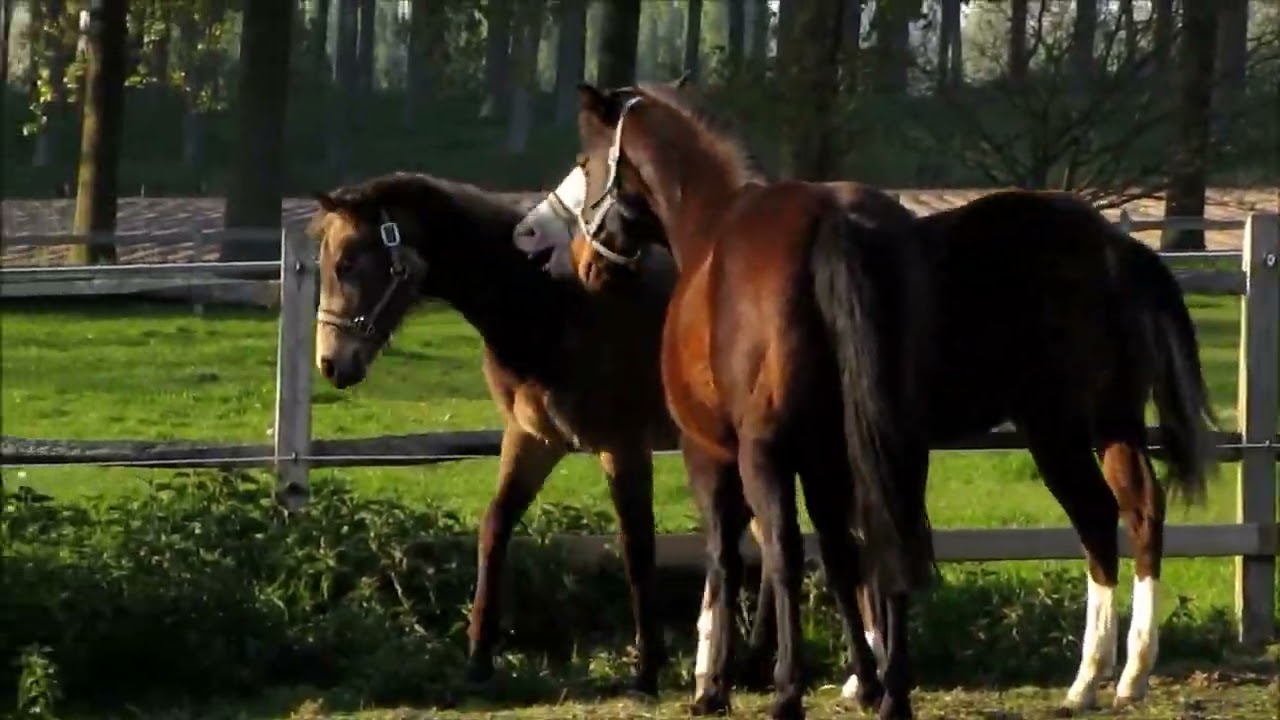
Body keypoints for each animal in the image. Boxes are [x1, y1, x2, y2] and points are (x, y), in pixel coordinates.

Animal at [306, 170, 685, 695]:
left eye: (345, 263)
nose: (330, 363)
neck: (557, 305)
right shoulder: (533, 440)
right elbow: (495, 528)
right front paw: (478, 659)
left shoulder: (623, 445)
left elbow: (637, 545)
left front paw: (647, 669)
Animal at [530, 83, 1218, 717]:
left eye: (587, 159)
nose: (563, 252)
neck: (715, 228)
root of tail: (1116, 246)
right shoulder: (840, 452)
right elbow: (850, 552)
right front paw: (865, 676)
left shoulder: (718, 452)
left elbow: (736, 558)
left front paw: (717, 684)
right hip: (1103, 424)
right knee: (1134, 512)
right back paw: (1118, 676)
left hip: (1052, 430)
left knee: (1094, 520)